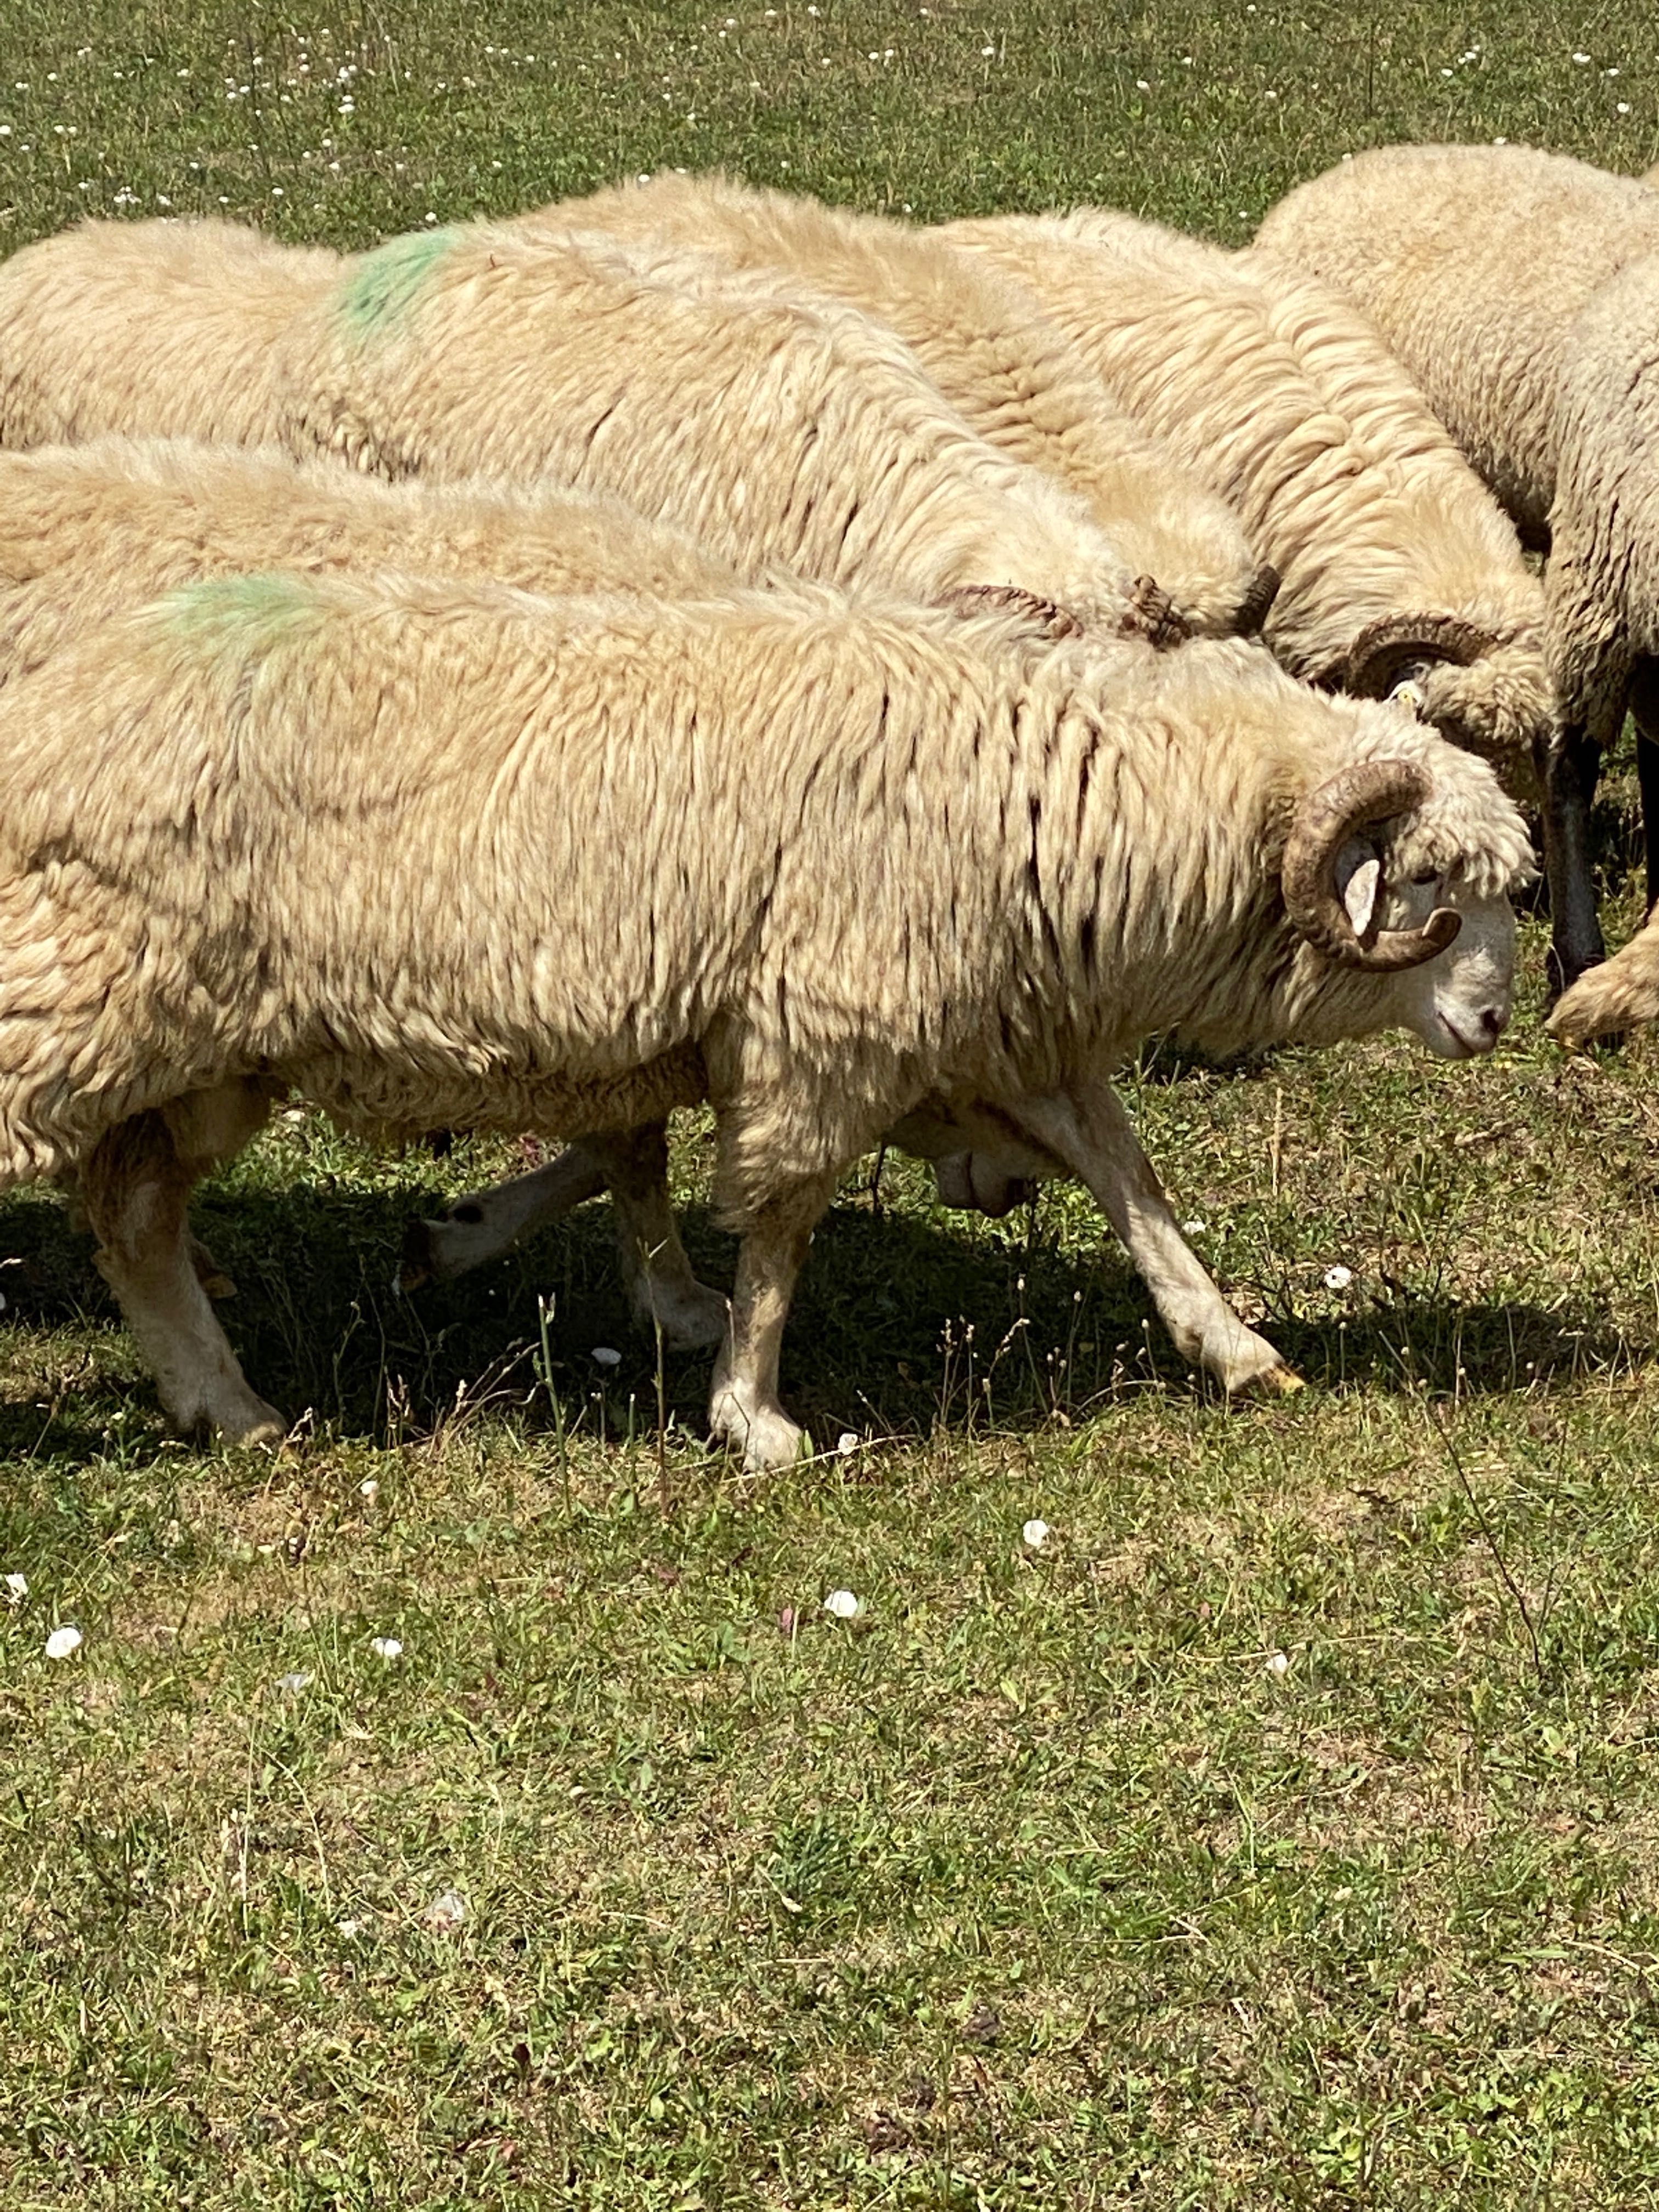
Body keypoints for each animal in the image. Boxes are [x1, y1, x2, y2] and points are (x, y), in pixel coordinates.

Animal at [0, 562, 1531, 1460]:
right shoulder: (831, 1023)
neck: (1065, 792)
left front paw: (1236, 1349)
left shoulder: (981, 1016)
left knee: (136, 1215)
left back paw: (231, 1408)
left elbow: (1129, 1181)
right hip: (88, 996)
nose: (1498, 1026)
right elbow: (782, 1225)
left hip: (210, 1047)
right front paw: (756, 1415)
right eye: (1432, 884)